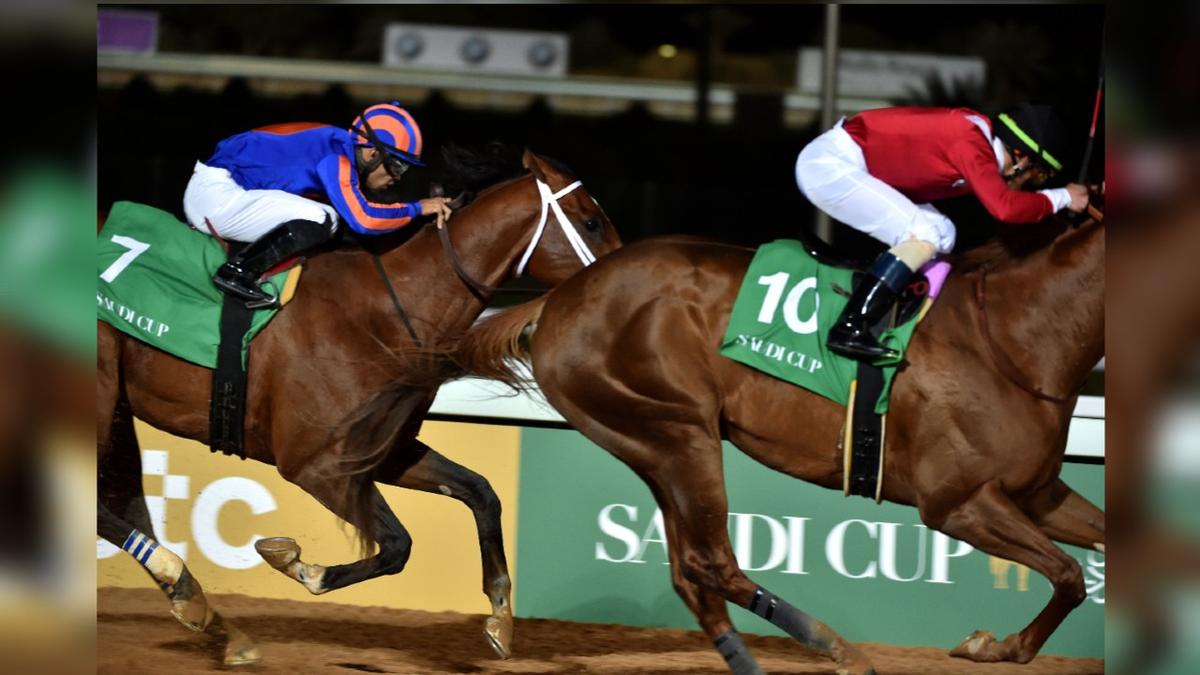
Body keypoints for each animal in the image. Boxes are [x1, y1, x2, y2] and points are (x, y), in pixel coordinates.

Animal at [96, 146, 622, 666]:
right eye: (591, 221)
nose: (622, 283)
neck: (385, 312)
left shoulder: (385, 450)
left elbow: (481, 493)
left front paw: (500, 620)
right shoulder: (316, 465)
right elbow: (397, 545)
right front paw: (298, 564)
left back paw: (210, 617)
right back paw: (187, 589)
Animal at [394, 208, 1104, 674]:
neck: (1011, 337)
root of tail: (565, 295)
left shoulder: (1037, 493)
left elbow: (1087, 562)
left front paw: (998, 643)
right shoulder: (955, 502)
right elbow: (1069, 574)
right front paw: (998, 646)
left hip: (653, 442)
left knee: (689, 571)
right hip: (678, 431)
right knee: (711, 562)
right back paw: (837, 647)